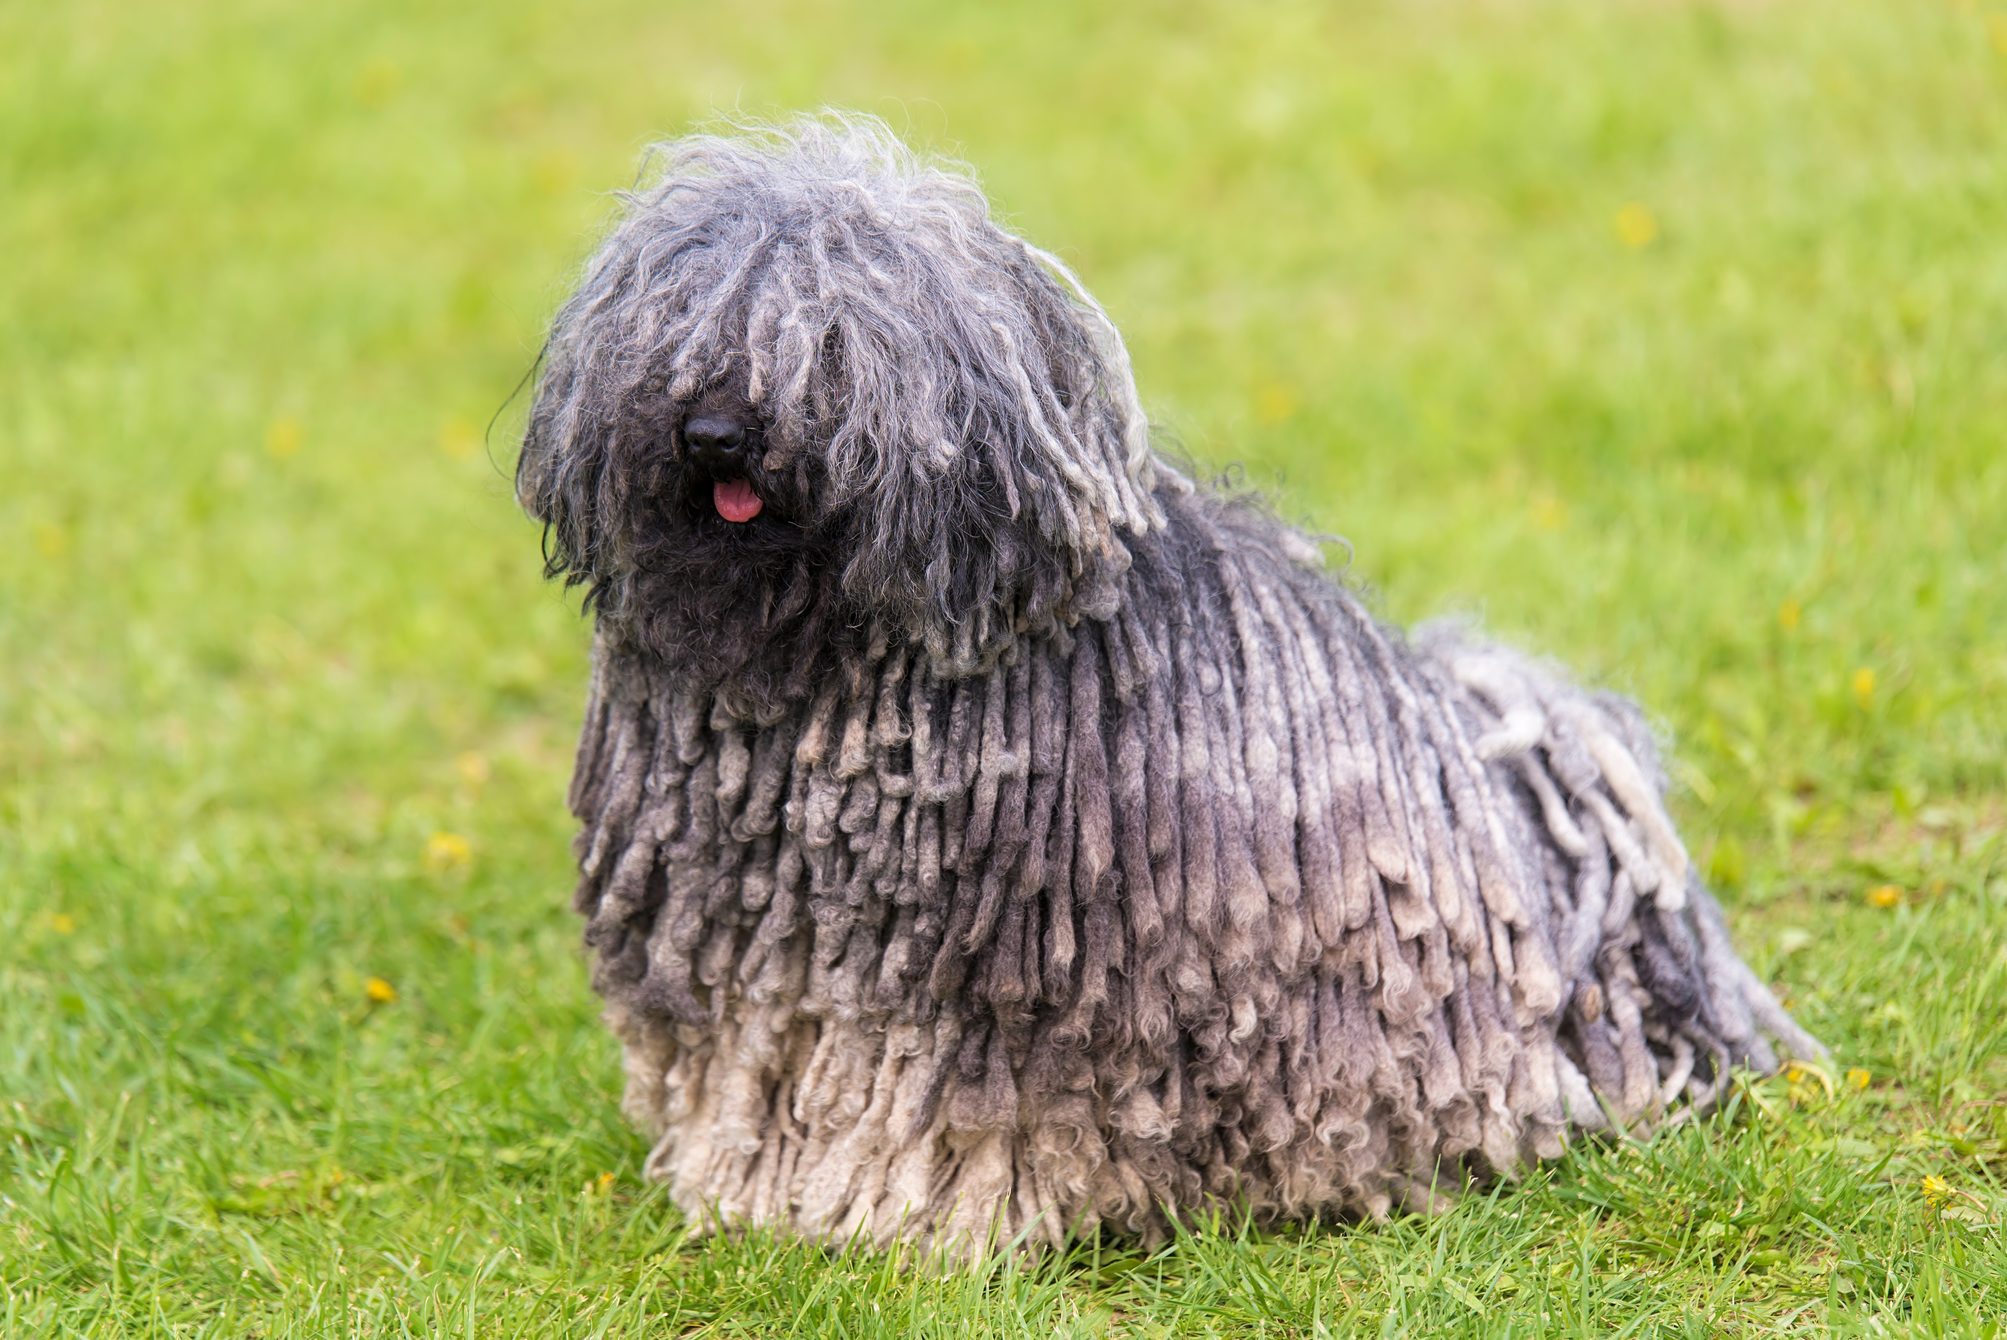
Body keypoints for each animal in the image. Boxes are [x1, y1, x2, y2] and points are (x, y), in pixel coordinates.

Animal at [513, 109, 1822, 1251]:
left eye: (830, 343)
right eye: (681, 326)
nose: (715, 433)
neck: (829, 677)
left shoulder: (989, 983)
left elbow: (935, 1097)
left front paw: (901, 1213)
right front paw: (743, 1185)